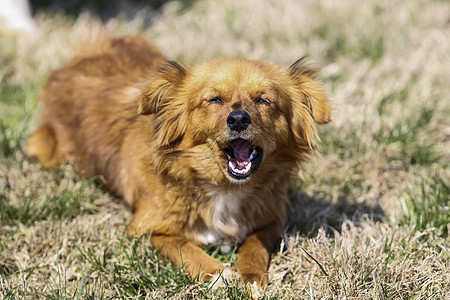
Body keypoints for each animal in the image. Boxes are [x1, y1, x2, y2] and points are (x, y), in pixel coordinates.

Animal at [27, 36, 330, 288]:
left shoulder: (273, 221)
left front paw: (250, 276)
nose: (238, 119)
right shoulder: (146, 230)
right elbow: (185, 248)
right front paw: (217, 274)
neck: (223, 187)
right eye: (214, 99)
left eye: (264, 100)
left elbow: (255, 245)